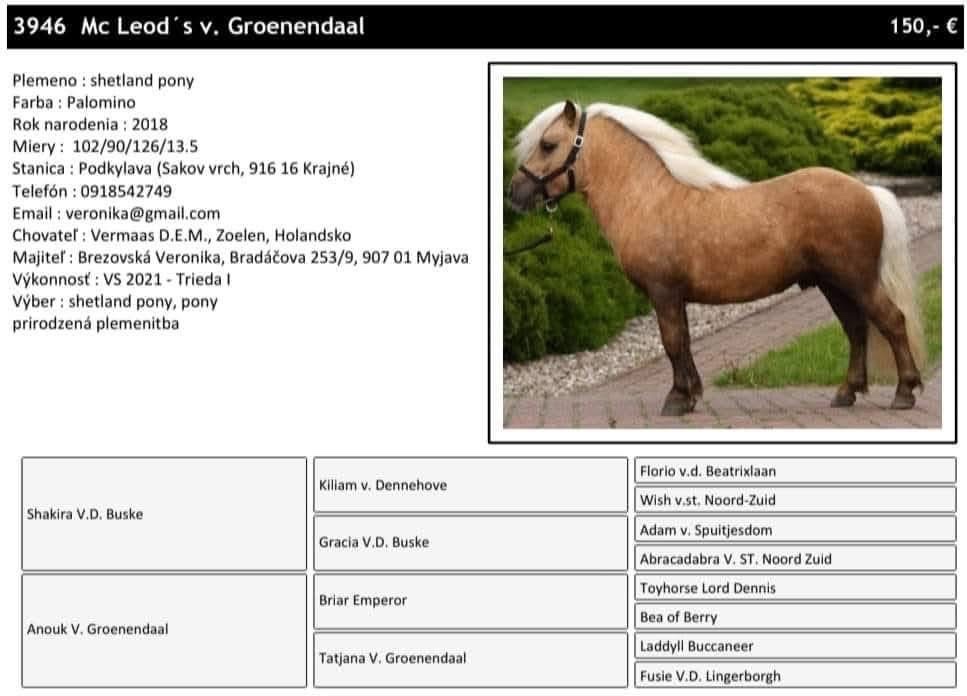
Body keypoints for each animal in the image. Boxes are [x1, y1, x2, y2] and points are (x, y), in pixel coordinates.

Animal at [508, 100, 926, 416]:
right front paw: (691, 394)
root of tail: (868, 191)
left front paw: (677, 399)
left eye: (548, 144)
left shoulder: (663, 293)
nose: (515, 193)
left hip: (857, 281)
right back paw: (846, 392)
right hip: (834, 285)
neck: (648, 197)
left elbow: (672, 342)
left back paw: (904, 392)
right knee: (856, 330)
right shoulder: (674, 297)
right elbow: (684, 342)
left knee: (891, 322)